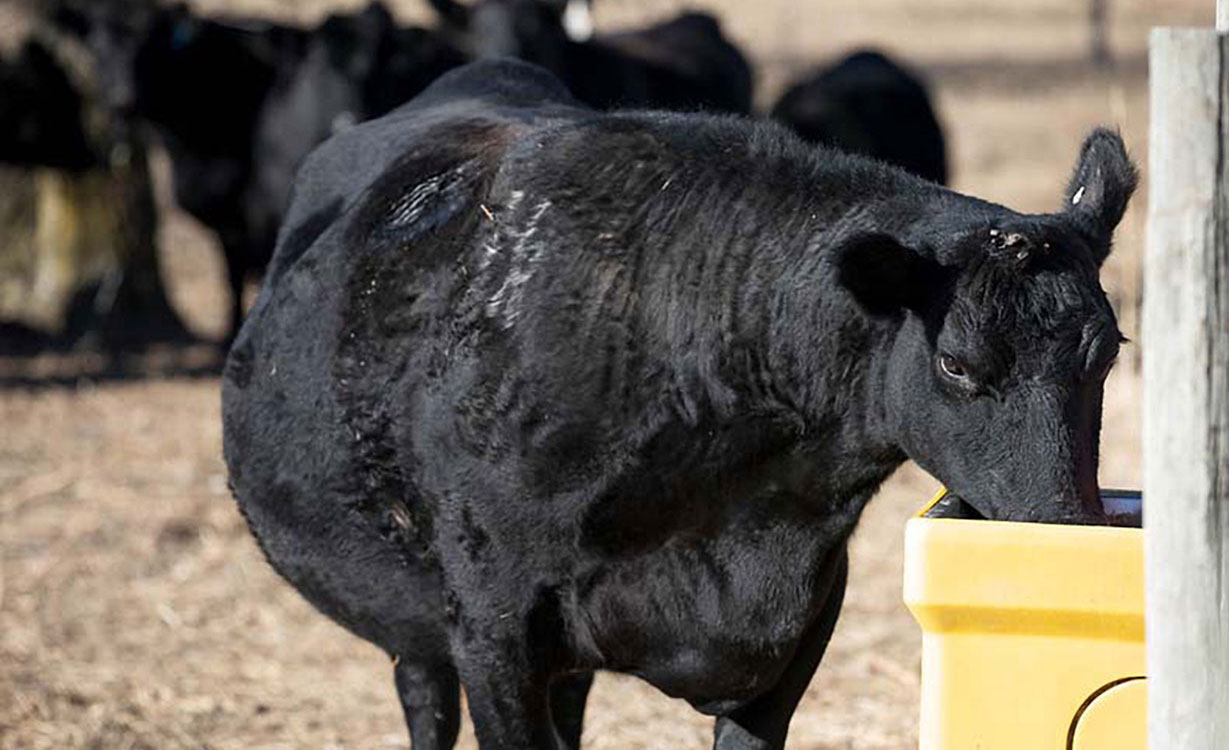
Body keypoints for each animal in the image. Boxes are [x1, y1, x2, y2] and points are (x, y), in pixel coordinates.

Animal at [223, 59, 1130, 747]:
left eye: (1110, 352)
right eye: (954, 364)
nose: (1060, 521)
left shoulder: (799, 622)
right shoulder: (490, 625)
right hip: (417, 624)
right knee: (425, 704)